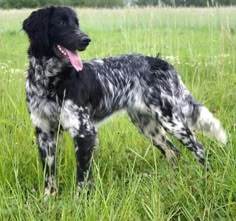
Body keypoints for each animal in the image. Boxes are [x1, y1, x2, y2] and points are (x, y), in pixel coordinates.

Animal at [22, 5, 227, 195]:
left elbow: (82, 177)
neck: (50, 80)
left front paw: (80, 201)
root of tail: (161, 63)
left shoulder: (84, 132)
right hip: (148, 126)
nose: (86, 40)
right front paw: (48, 199)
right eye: (61, 22)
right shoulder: (45, 132)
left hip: (171, 121)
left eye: (76, 23)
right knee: (173, 152)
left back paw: (207, 178)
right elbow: (49, 175)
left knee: (199, 148)